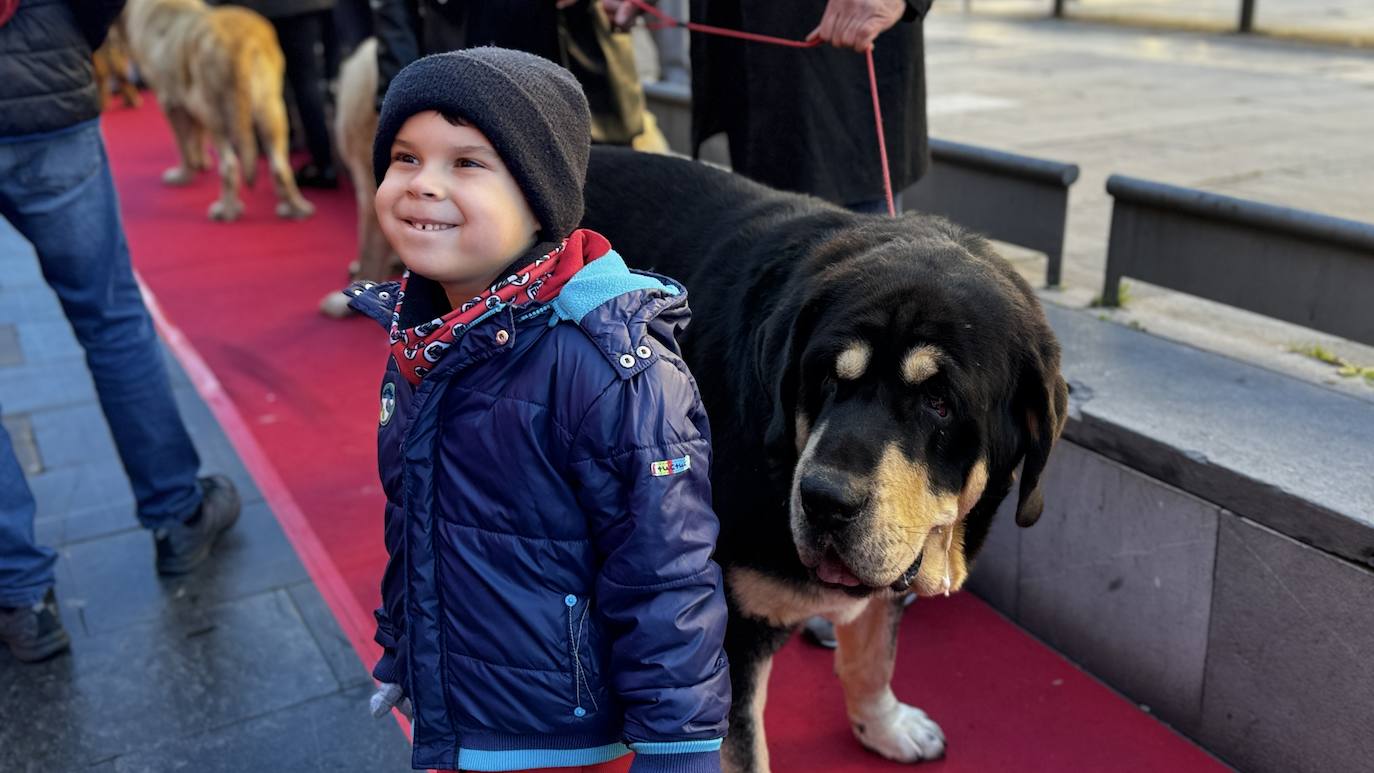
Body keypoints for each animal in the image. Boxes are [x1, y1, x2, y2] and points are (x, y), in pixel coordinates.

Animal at [585, 148, 1066, 768]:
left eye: (939, 402)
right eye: (826, 380)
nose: (825, 502)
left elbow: (873, 657)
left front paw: (883, 725)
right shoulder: (729, 633)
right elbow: (743, 749)